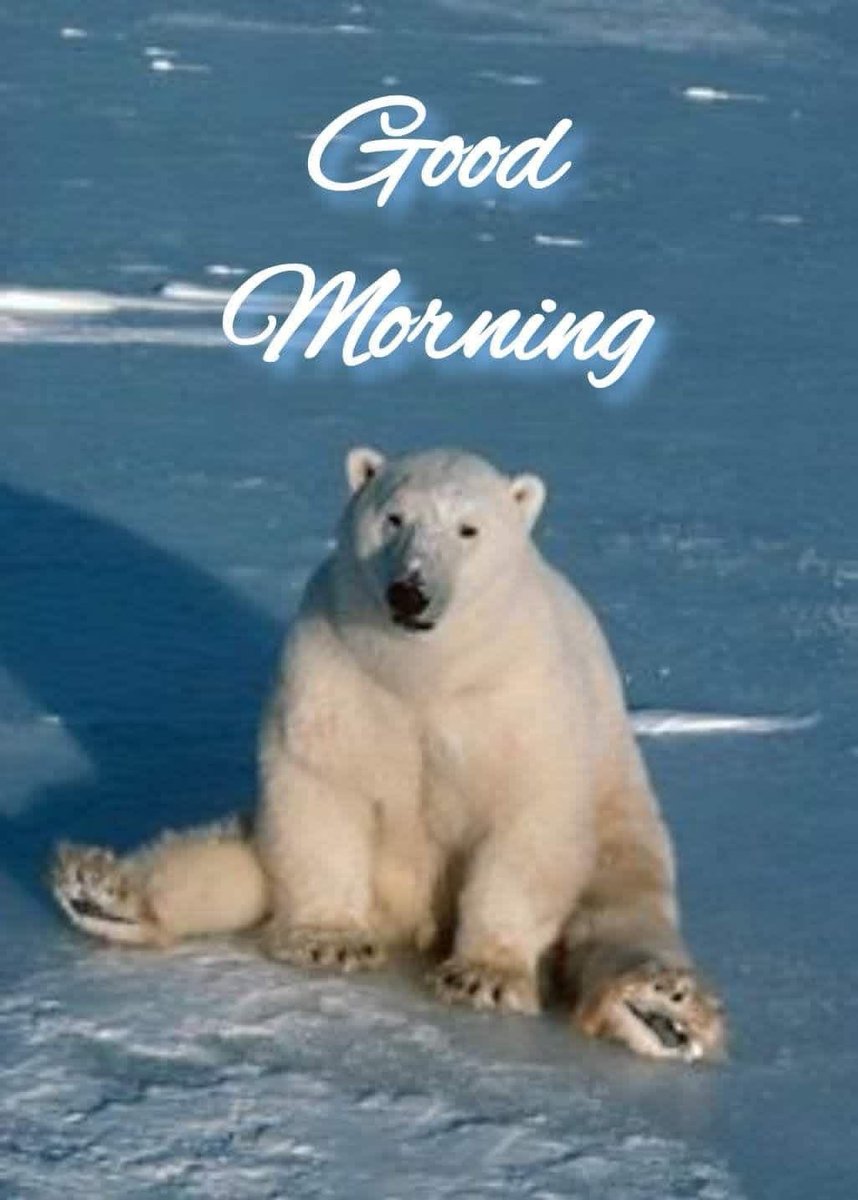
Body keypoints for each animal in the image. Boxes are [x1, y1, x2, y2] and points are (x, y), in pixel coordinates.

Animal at [52, 447, 725, 1062]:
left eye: (468, 529)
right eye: (394, 517)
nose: (409, 592)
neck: (423, 671)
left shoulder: (517, 697)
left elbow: (523, 817)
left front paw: (483, 976)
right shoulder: (337, 666)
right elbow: (321, 785)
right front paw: (329, 941)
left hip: (620, 817)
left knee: (620, 908)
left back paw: (658, 1004)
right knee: (236, 855)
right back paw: (103, 888)